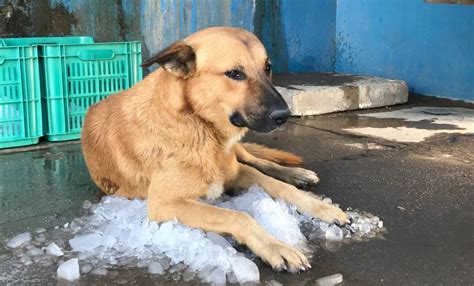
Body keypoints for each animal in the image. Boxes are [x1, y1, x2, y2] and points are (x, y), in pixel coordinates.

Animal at [82, 27, 348, 272]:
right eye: (235, 73)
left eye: (268, 67)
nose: (284, 115)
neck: (197, 121)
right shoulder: (164, 204)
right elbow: (238, 216)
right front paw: (276, 247)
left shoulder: (239, 172)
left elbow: (280, 187)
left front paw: (322, 207)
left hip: (239, 155)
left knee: (258, 160)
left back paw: (298, 174)